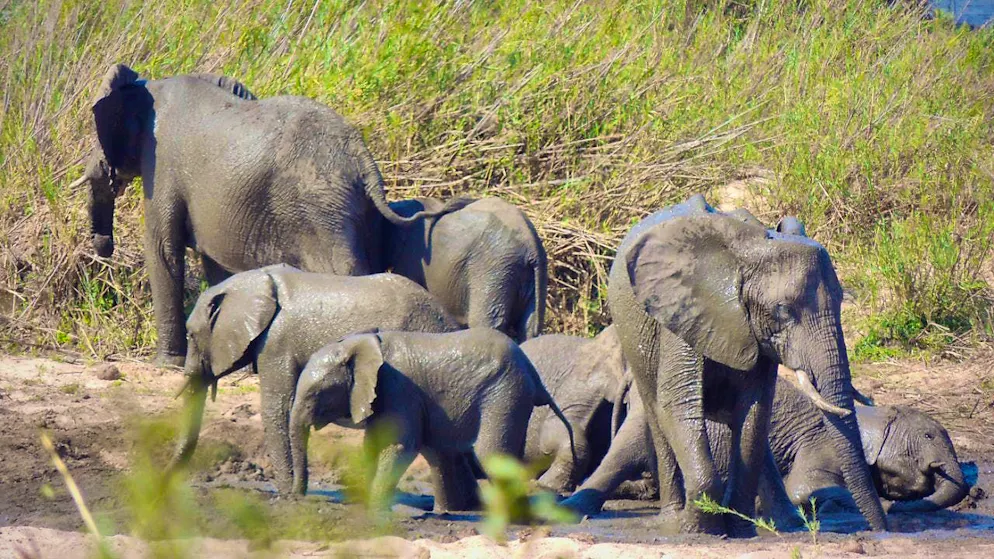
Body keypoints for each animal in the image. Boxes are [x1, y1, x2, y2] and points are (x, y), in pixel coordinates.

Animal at [70, 64, 465, 367]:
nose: (103, 247)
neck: (151, 84)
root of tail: (364, 161)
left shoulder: (163, 164)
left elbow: (163, 251)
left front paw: (165, 364)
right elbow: (216, 266)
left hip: (325, 212)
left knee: (347, 272)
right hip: (357, 213)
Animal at [168, 265, 462, 494]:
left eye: (191, 335)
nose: (166, 476)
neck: (254, 282)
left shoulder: (276, 343)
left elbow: (277, 408)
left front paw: (287, 494)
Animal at [288, 328, 576, 512]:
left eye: (315, 394)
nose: (296, 498)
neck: (357, 344)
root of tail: (533, 373)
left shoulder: (398, 388)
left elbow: (400, 446)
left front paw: (374, 507)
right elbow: (373, 445)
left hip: (506, 393)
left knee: (490, 453)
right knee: (441, 452)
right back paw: (453, 511)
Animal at [590, 193, 887, 536]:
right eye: (783, 310)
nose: (880, 528)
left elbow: (754, 410)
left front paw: (739, 528)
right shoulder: (681, 309)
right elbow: (677, 403)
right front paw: (698, 530)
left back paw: (783, 523)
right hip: (633, 337)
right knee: (656, 414)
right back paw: (670, 520)